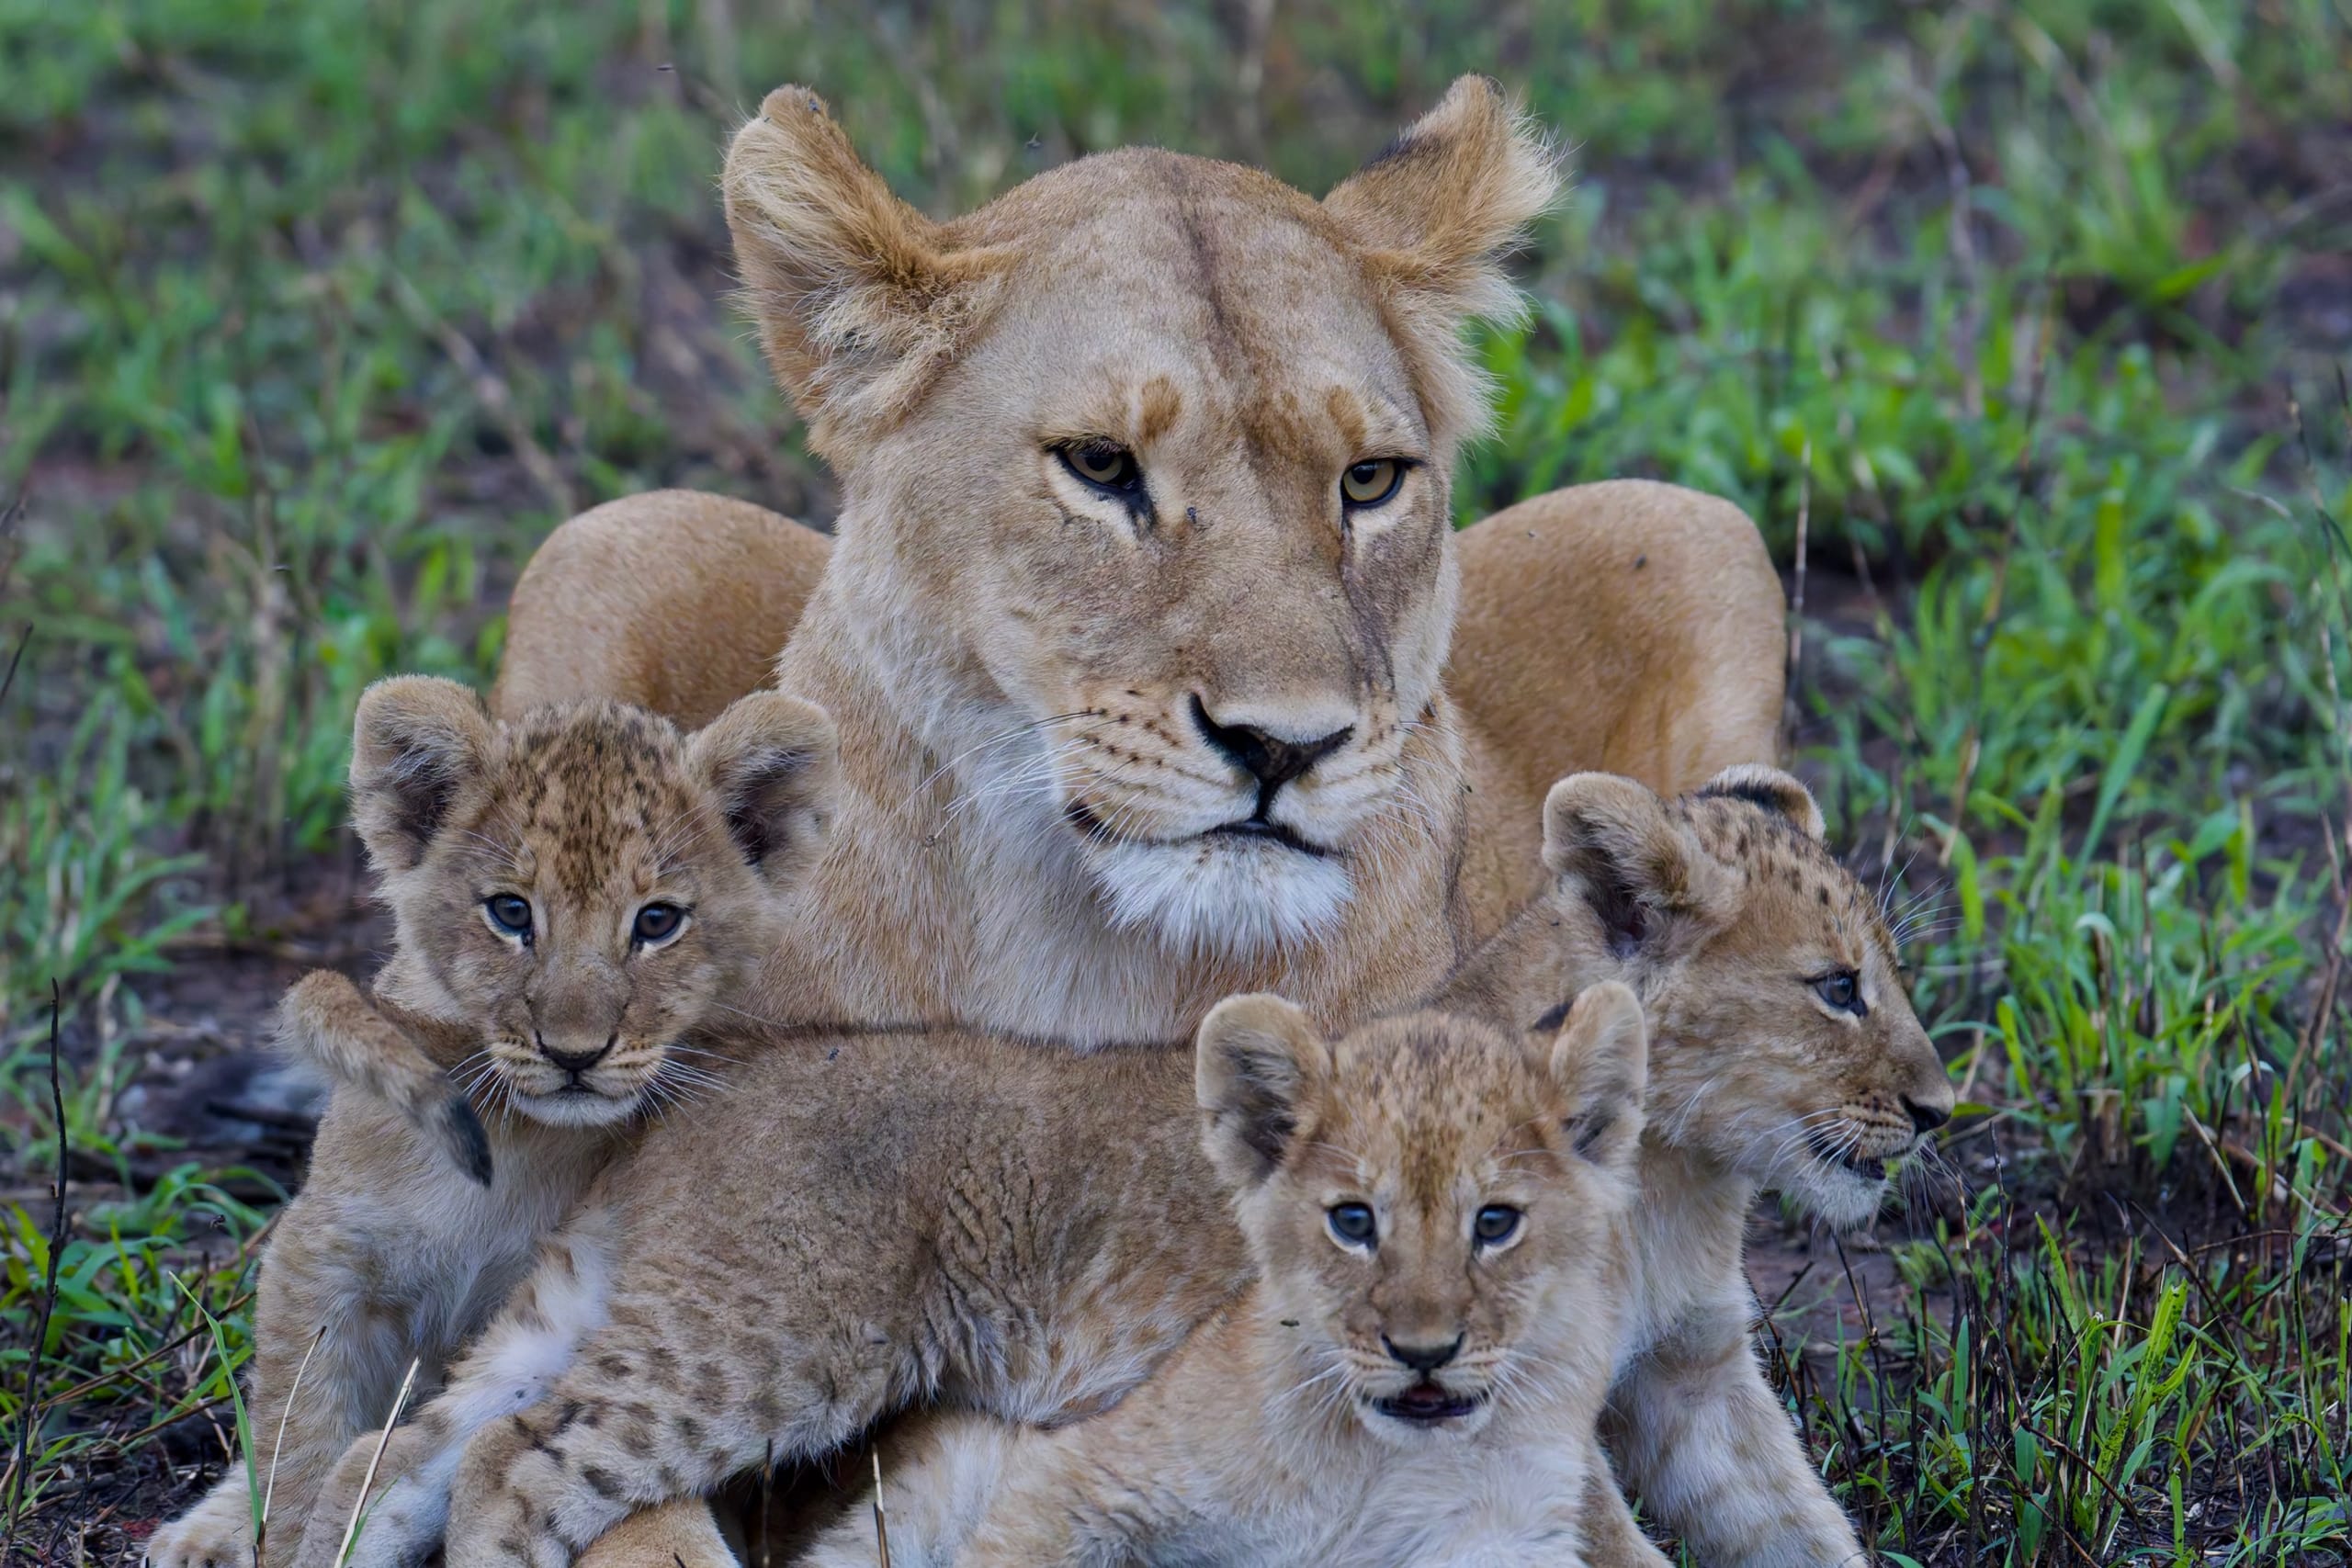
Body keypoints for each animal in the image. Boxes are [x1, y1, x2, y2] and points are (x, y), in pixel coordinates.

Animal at [145, 679, 836, 1567]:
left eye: (657, 922)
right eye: (511, 912)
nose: (575, 1051)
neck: (512, 1143)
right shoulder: (324, 1254)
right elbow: (298, 1433)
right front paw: (280, 1531)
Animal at [287, 990, 1655, 1568]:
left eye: (1496, 1223)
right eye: (1353, 1222)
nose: (1425, 1350)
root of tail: (728, 1060)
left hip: (610, 1306)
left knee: (393, 1455)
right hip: (771, 1333)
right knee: (516, 1464)